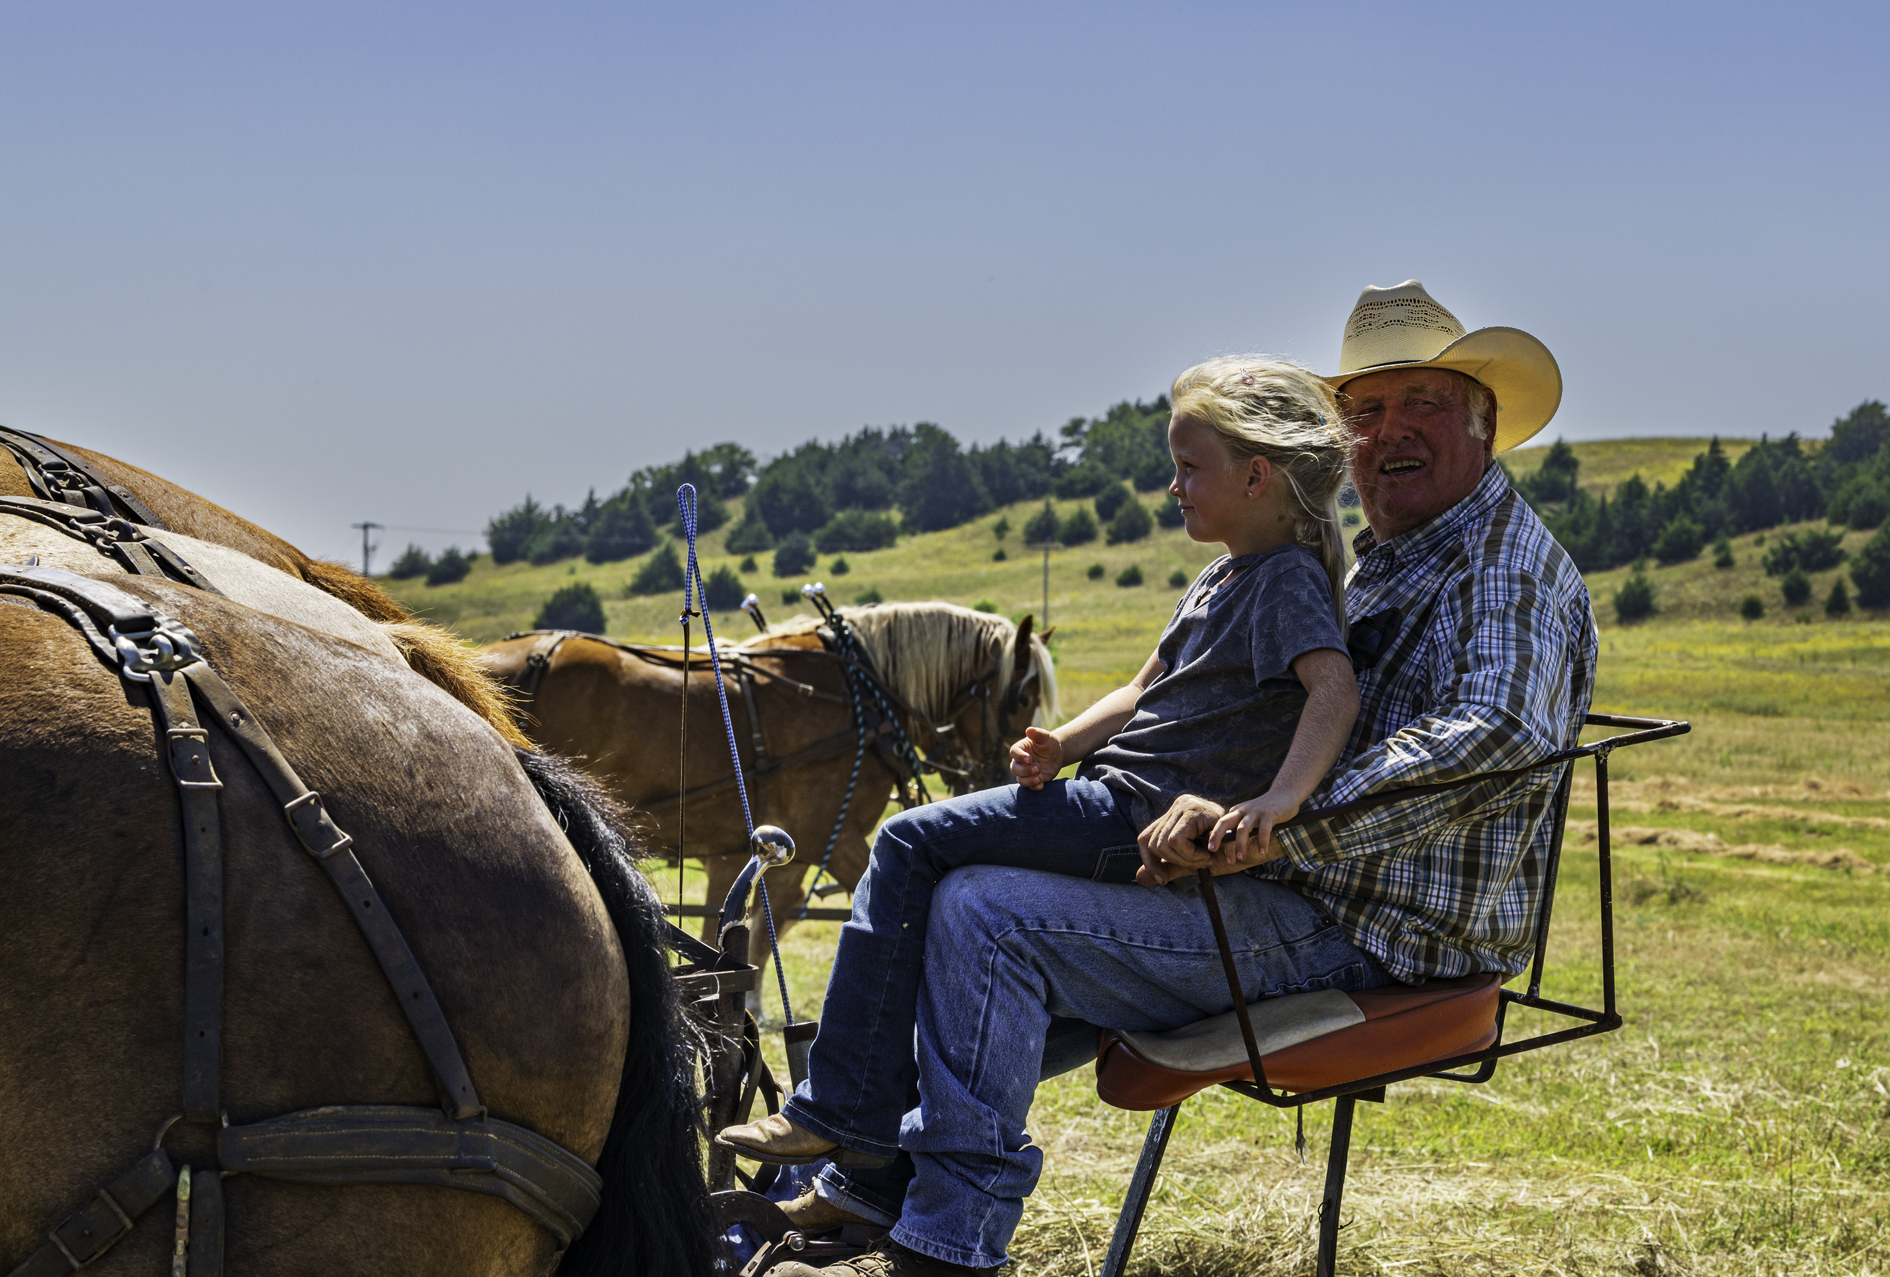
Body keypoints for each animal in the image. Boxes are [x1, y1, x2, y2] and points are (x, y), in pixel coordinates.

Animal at [480, 596, 1058, 997]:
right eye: (1021, 696)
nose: (997, 777)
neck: (858, 692)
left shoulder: (766, 849)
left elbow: (757, 923)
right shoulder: (834, 837)